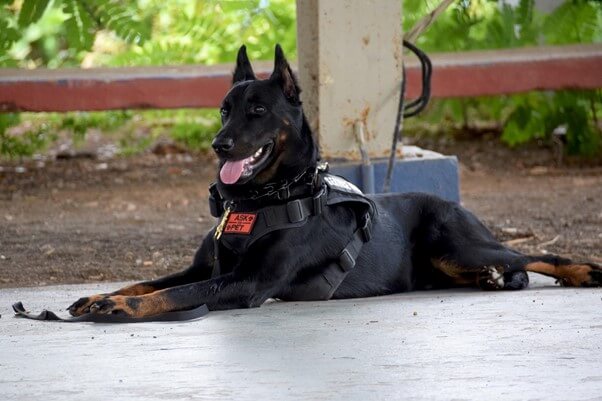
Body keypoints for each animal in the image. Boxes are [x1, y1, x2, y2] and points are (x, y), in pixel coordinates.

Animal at [69, 44, 600, 316]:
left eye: (257, 111)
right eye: (224, 109)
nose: (219, 144)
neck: (263, 199)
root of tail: (455, 204)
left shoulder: (245, 282)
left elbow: (173, 295)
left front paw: (119, 307)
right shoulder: (205, 268)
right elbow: (146, 282)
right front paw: (101, 296)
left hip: (457, 245)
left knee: (534, 255)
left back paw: (581, 272)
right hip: (445, 262)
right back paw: (495, 280)